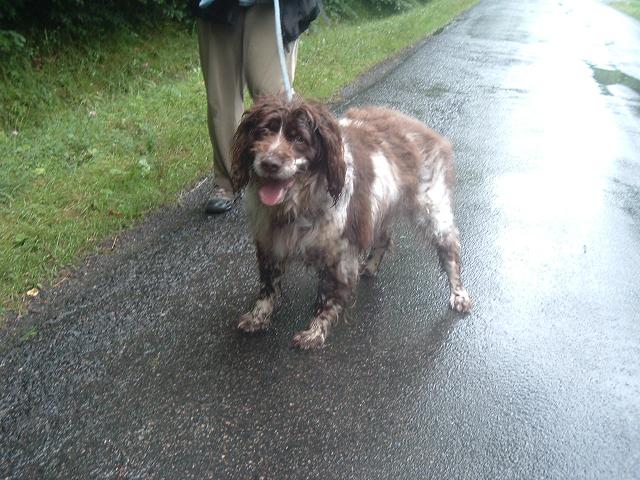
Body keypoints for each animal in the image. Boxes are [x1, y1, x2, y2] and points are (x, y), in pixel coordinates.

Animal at [230, 94, 470, 348]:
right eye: (263, 132)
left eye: (298, 138)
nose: (269, 163)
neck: (299, 202)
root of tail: (422, 129)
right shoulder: (269, 241)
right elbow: (267, 287)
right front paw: (258, 318)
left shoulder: (339, 253)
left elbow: (326, 297)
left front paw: (315, 332)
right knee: (384, 238)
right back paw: (370, 267)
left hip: (433, 212)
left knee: (451, 252)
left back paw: (459, 294)